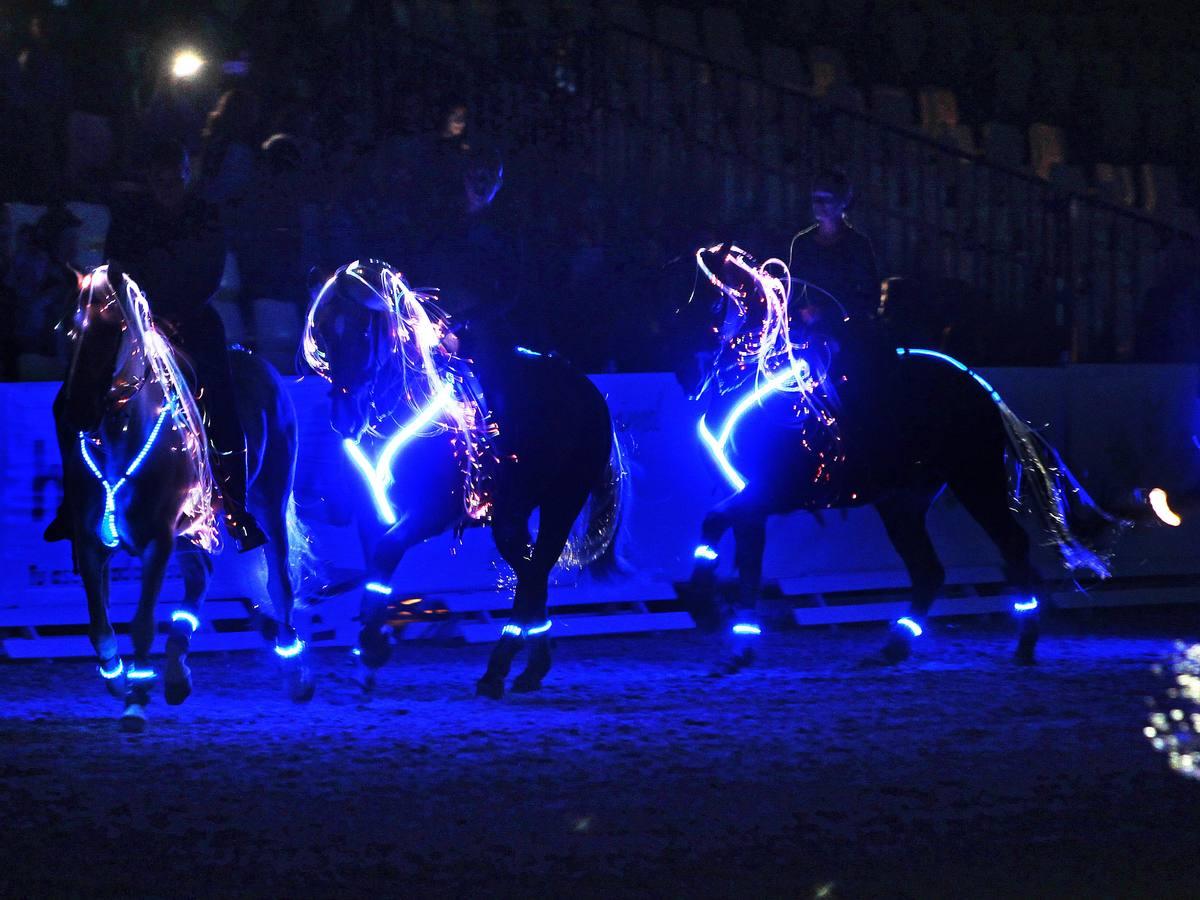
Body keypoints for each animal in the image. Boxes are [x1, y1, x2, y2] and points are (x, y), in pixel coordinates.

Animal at [57, 267, 312, 734]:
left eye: (111, 329)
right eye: (70, 327)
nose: (76, 411)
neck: (123, 432)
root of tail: (254, 358)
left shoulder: (158, 540)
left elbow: (141, 623)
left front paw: (136, 701)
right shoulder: (88, 542)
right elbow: (98, 622)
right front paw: (117, 679)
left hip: (268, 499)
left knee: (279, 582)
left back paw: (295, 671)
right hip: (194, 528)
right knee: (200, 579)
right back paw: (177, 675)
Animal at [300, 259, 624, 696]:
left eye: (364, 329)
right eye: (323, 331)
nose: (345, 416)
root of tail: (583, 386)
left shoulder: (431, 513)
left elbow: (387, 552)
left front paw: (371, 649)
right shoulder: (373, 515)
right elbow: (376, 568)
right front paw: (371, 646)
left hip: (561, 502)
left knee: (535, 569)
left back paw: (499, 667)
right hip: (511, 516)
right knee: (530, 570)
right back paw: (529, 665)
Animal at [672, 247, 1118, 672]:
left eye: (713, 302)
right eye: (678, 302)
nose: (684, 372)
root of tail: (979, 387)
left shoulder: (773, 492)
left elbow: (714, 523)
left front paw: (705, 606)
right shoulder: (753, 502)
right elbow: (746, 566)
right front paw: (739, 645)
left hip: (976, 480)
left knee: (1009, 545)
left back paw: (1024, 644)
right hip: (902, 503)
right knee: (929, 570)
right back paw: (895, 647)